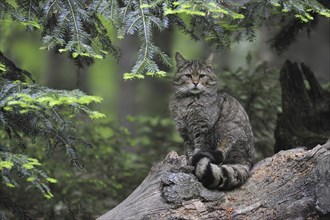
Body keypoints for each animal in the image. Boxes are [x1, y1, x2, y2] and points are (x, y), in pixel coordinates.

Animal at [169, 52, 254, 190]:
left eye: (202, 75)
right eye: (188, 75)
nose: (195, 82)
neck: (189, 102)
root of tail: (247, 162)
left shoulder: (202, 131)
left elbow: (198, 150)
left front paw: (192, 167)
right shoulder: (185, 134)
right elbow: (190, 152)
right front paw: (189, 164)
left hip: (224, 131)